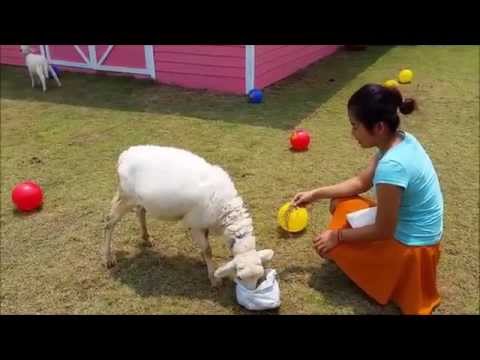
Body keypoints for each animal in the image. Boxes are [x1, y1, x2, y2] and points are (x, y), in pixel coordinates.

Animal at [104, 145, 274, 288]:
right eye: (239, 277)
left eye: (259, 277)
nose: (251, 294)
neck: (227, 212)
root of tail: (125, 155)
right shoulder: (196, 224)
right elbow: (207, 250)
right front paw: (213, 278)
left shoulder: (204, 224)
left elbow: (205, 248)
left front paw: (205, 263)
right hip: (126, 197)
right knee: (109, 222)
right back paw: (108, 258)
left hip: (139, 199)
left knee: (140, 212)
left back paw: (146, 238)